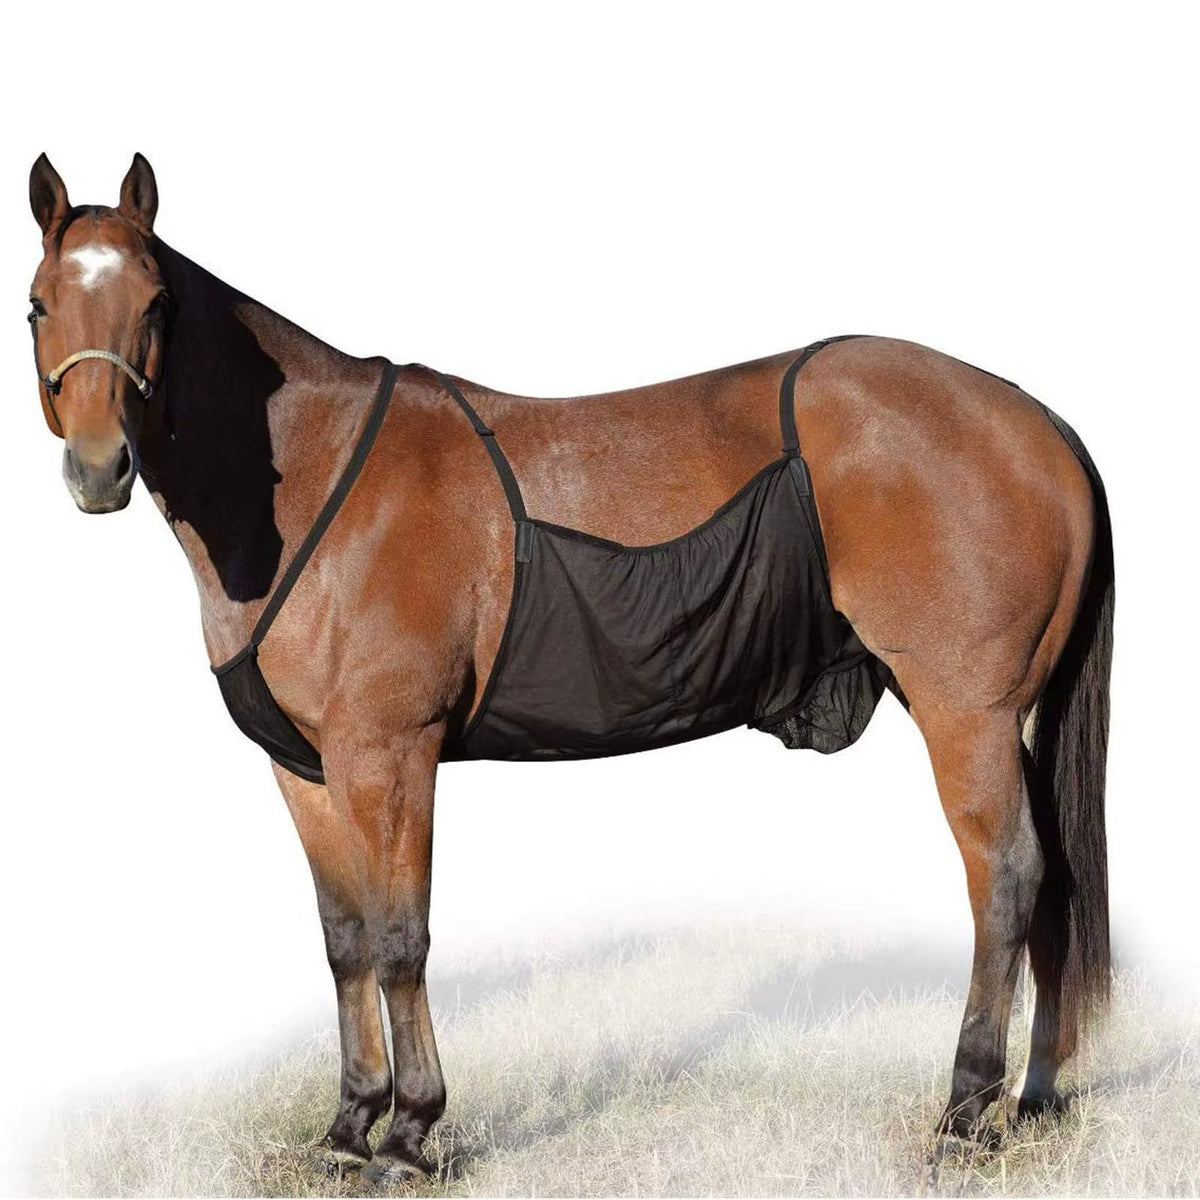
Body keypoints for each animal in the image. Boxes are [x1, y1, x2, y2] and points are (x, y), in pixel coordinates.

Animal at [25, 153, 1113, 1185]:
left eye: (154, 303)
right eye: (38, 303)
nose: (99, 468)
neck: (312, 483)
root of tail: (1036, 420)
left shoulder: (390, 756)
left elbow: (401, 939)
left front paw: (409, 1136)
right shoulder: (306, 768)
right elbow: (344, 943)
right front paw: (346, 1126)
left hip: (968, 715)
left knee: (1007, 879)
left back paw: (965, 1113)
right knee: (1051, 880)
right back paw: (1035, 1095)